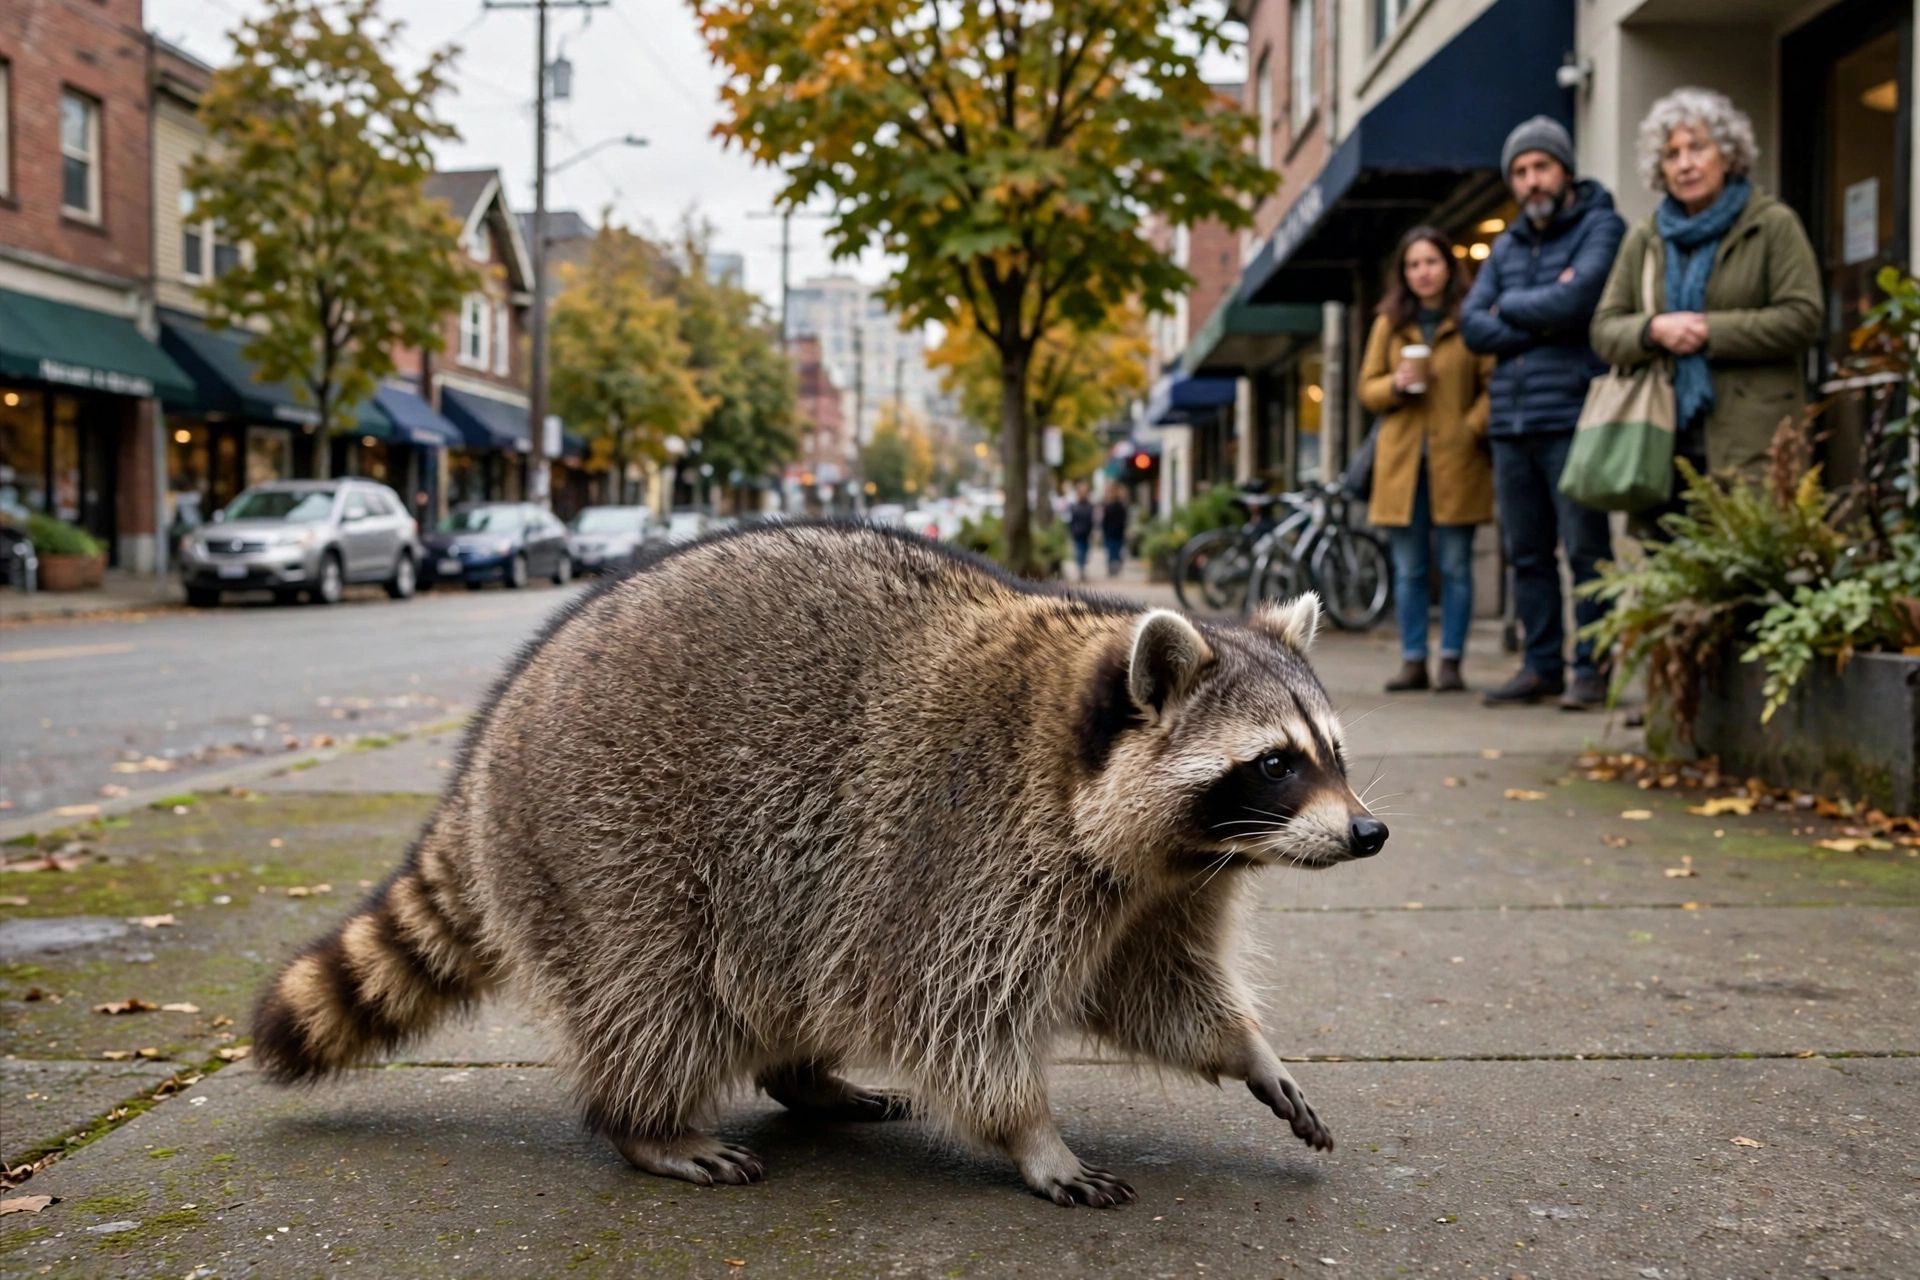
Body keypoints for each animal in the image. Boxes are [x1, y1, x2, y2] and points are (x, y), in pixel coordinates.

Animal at [252, 523, 1386, 1207]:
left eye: (1335, 749)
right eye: (1275, 763)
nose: (1370, 834)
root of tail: (490, 740)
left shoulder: (1153, 890)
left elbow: (1156, 987)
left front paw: (1248, 1049)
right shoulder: (975, 854)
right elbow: (954, 1012)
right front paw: (1033, 1133)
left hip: (783, 879)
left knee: (790, 967)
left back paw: (802, 1073)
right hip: (607, 839)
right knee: (655, 989)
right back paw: (644, 1121)